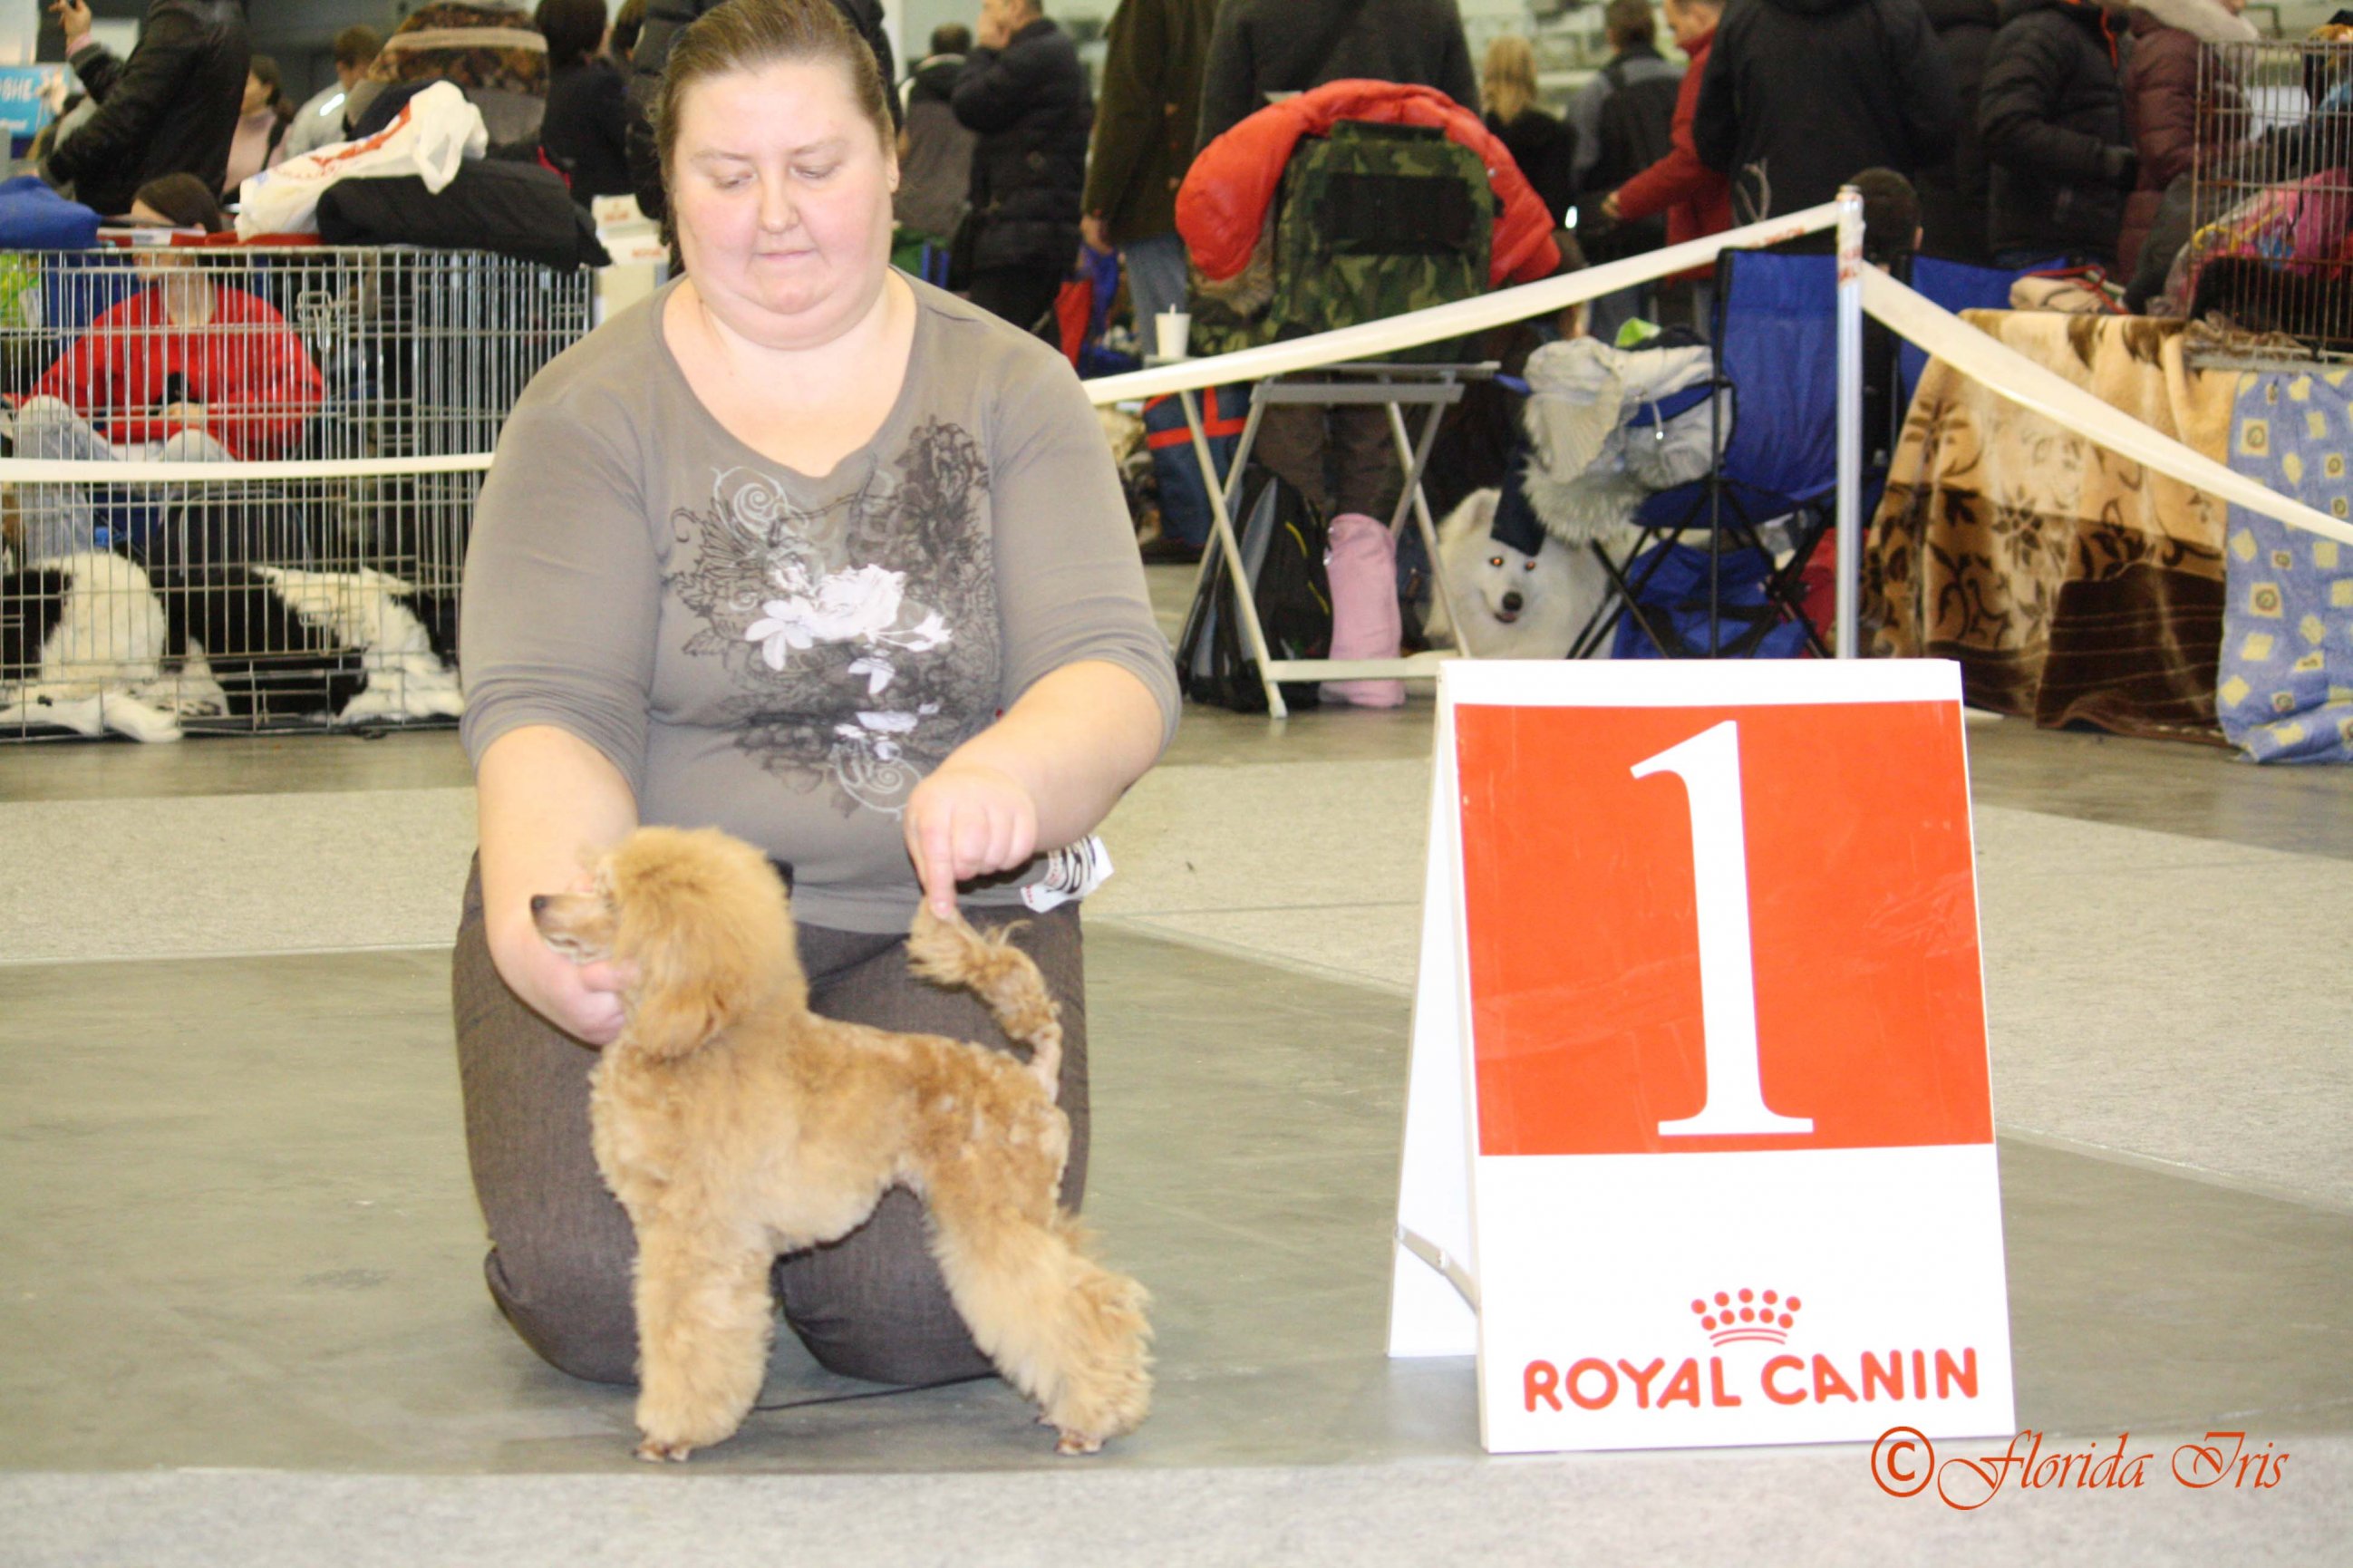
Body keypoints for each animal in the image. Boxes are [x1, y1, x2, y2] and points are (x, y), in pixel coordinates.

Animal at [533, 826, 1153, 1463]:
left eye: (610, 900)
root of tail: (1032, 1076)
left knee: (1082, 1302)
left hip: (994, 1212)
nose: (537, 902)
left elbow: (684, 1330)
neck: (691, 1041)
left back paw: (1092, 1419)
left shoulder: (697, 1235)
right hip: (1025, 1208)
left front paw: (670, 1433)